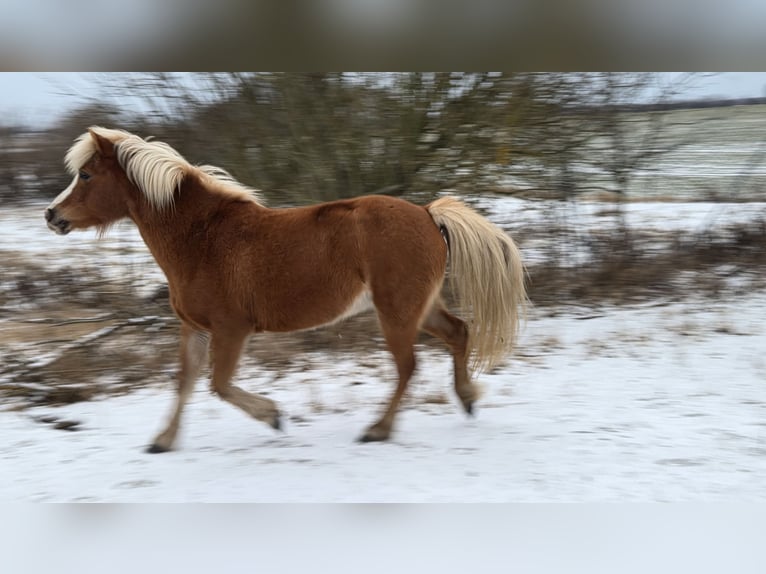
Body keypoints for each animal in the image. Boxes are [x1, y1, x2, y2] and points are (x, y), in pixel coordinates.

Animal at [44, 127, 527, 452]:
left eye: (85, 175)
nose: (52, 215)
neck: (202, 239)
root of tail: (427, 213)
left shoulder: (231, 329)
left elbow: (219, 385)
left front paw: (274, 416)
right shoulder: (194, 328)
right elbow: (185, 381)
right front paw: (163, 441)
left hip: (396, 311)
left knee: (408, 367)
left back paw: (378, 430)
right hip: (417, 307)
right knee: (459, 333)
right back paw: (467, 399)